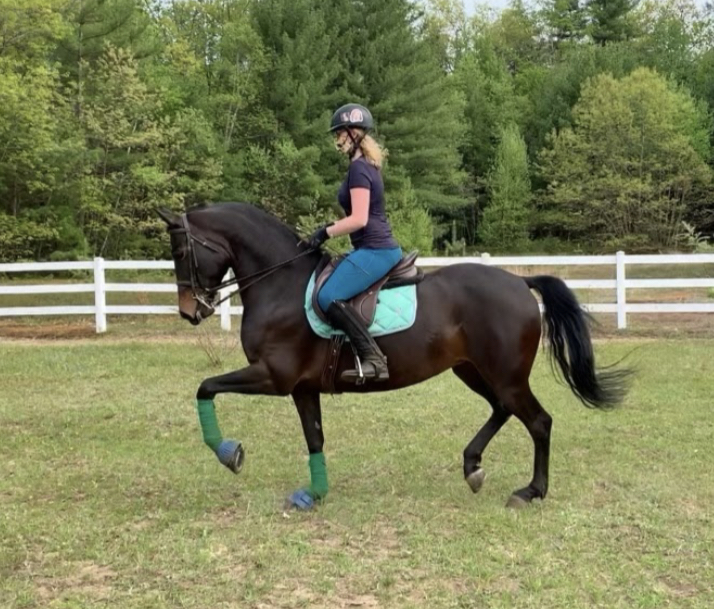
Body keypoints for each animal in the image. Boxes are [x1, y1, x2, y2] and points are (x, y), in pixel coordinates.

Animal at [157, 203, 628, 508]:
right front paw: (315, 494)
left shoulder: (273, 376)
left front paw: (229, 453)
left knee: (538, 421)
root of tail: (518, 282)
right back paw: (472, 467)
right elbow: (314, 437)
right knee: (502, 410)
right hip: (473, 370)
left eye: (180, 253)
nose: (189, 311)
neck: (282, 284)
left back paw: (531, 491)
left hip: (505, 374)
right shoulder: (302, 387)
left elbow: (205, 388)